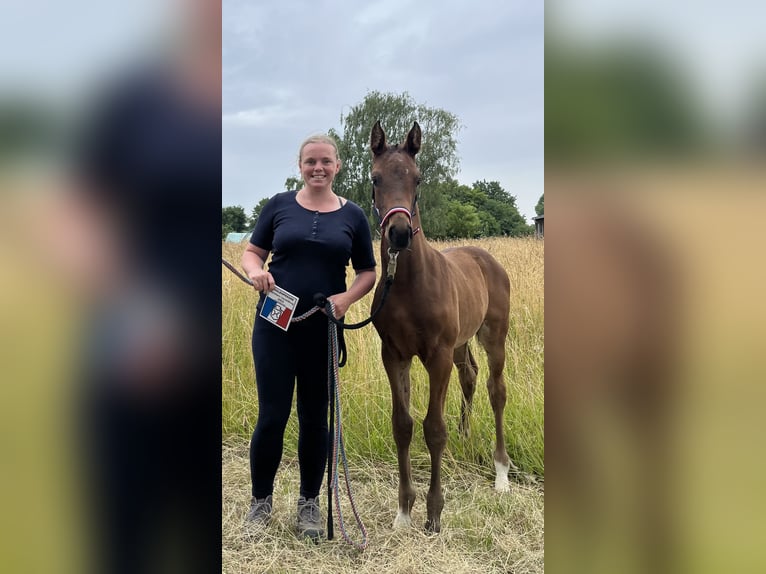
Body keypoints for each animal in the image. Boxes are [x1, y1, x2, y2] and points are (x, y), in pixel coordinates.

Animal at [372, 121, 516, 536]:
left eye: (417, 179)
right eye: (375, 178)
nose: (399, 233)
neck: (407, 285)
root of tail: (485, 257)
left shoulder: (436, 356)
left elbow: (433, 428)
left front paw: (434, 514)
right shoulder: (394, 354)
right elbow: (402, 424)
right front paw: (404, 511)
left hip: (492, 336)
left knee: (496, 389)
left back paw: (501, 473)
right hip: (460, 342)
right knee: (470, 375)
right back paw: (465, 437)